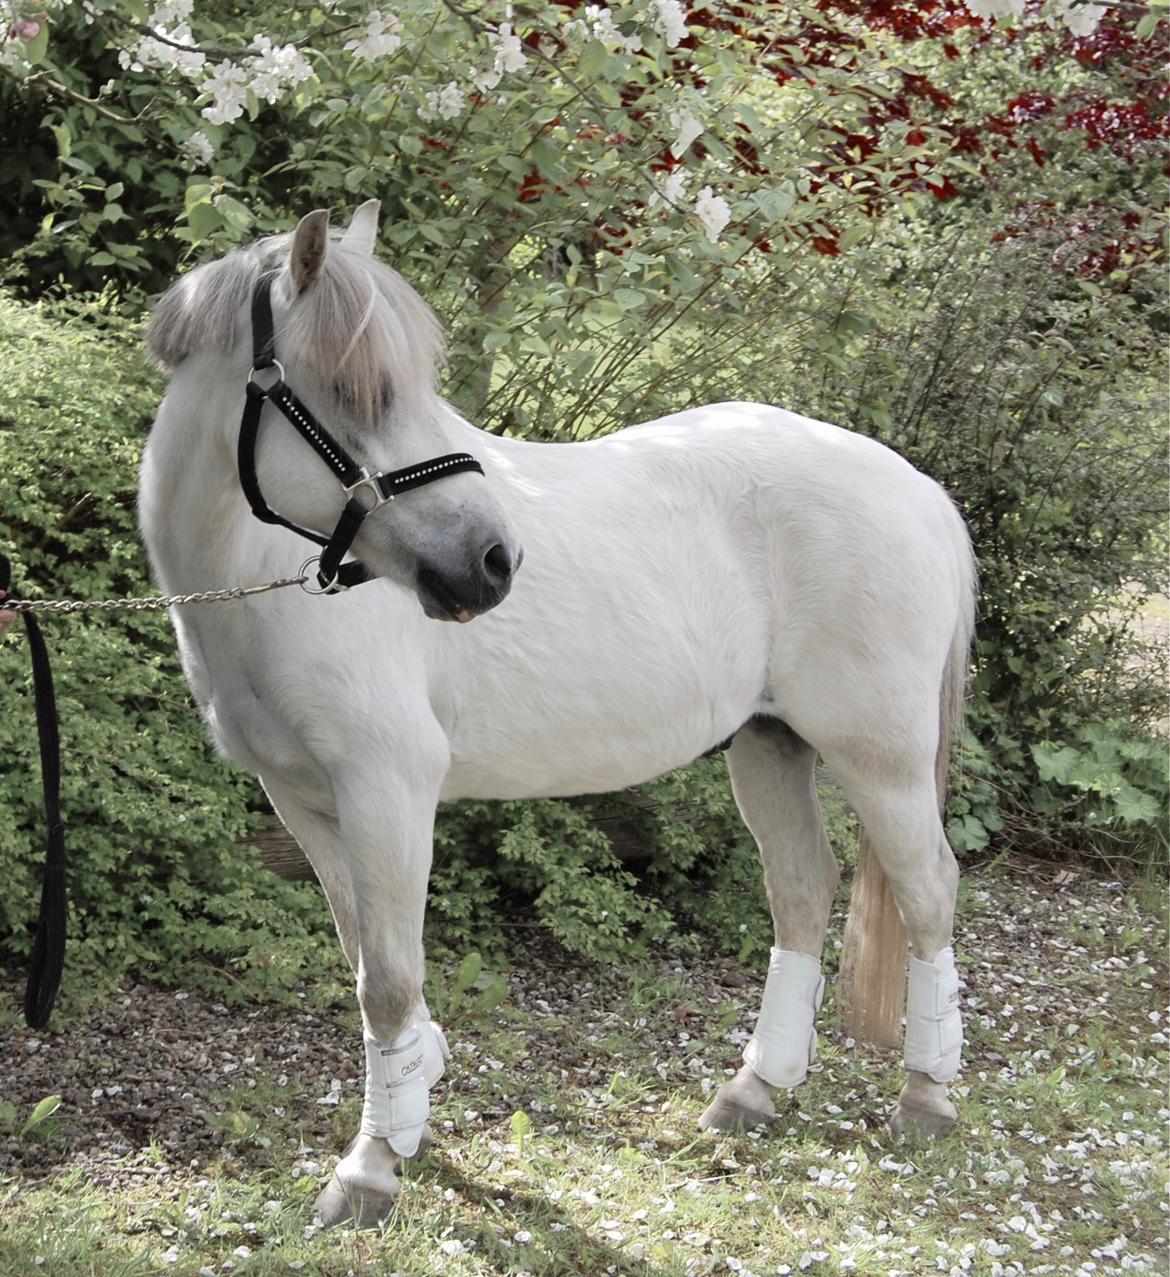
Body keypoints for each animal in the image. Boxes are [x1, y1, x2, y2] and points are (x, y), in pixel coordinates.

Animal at [139, 201, 975, 1225]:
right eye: (354, 391)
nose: (494, 561)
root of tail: (919, 490)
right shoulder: (303, 800)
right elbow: (364, 957)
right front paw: (415, 1093)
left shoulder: (388, 790)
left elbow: (389, 981)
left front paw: (371, 1167)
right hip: (768, 744)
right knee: (803, 890)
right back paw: (756, 1089)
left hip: (880, 757)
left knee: (929, 890)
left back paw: (926, 1098)